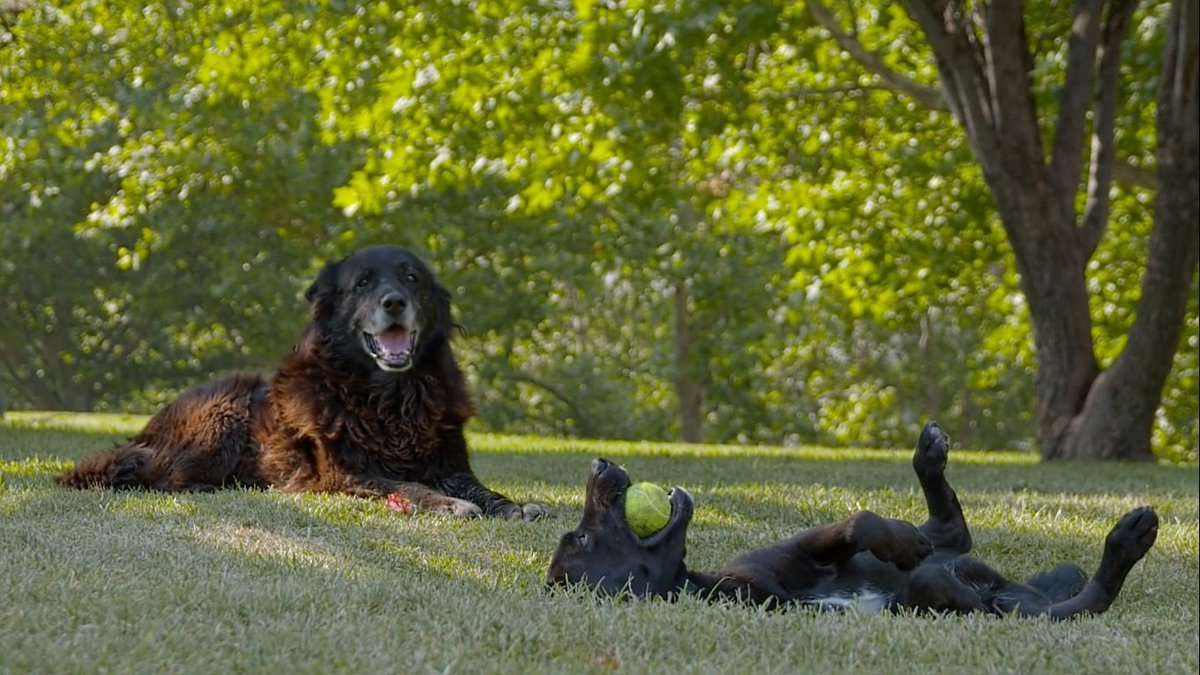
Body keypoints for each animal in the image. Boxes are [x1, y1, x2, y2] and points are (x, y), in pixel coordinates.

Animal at [55, 243, 544, 516]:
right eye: (363, 283)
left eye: (412, 278)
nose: (394, 301)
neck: (390, 397)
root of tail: (146, 431)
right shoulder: (347, 472)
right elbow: (409, 486)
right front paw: (448, 505)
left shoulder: (450, 464)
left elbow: (481, 488)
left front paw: (514, 505)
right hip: (221, 415)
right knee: (160, 475)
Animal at [549, 422, 1156, 619]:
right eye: (581, 536)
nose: (599, 463)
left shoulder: (795, 551)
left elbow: (857, 522)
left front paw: (899, 541)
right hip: (1005, 603)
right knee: (1074, 604)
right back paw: (1125, 543)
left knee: (950, 534)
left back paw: (928, 461)